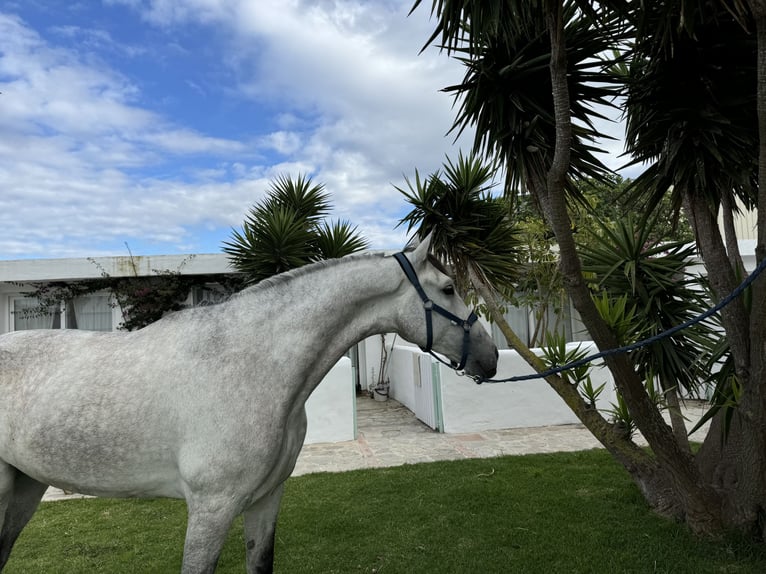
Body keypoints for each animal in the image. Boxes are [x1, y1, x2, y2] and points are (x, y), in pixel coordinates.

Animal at [0, 236, 498, 573]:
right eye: (449, 288)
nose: (490, 358)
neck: (251, 362)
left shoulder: (265, 499)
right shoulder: (211, 508)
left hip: (25, 487)